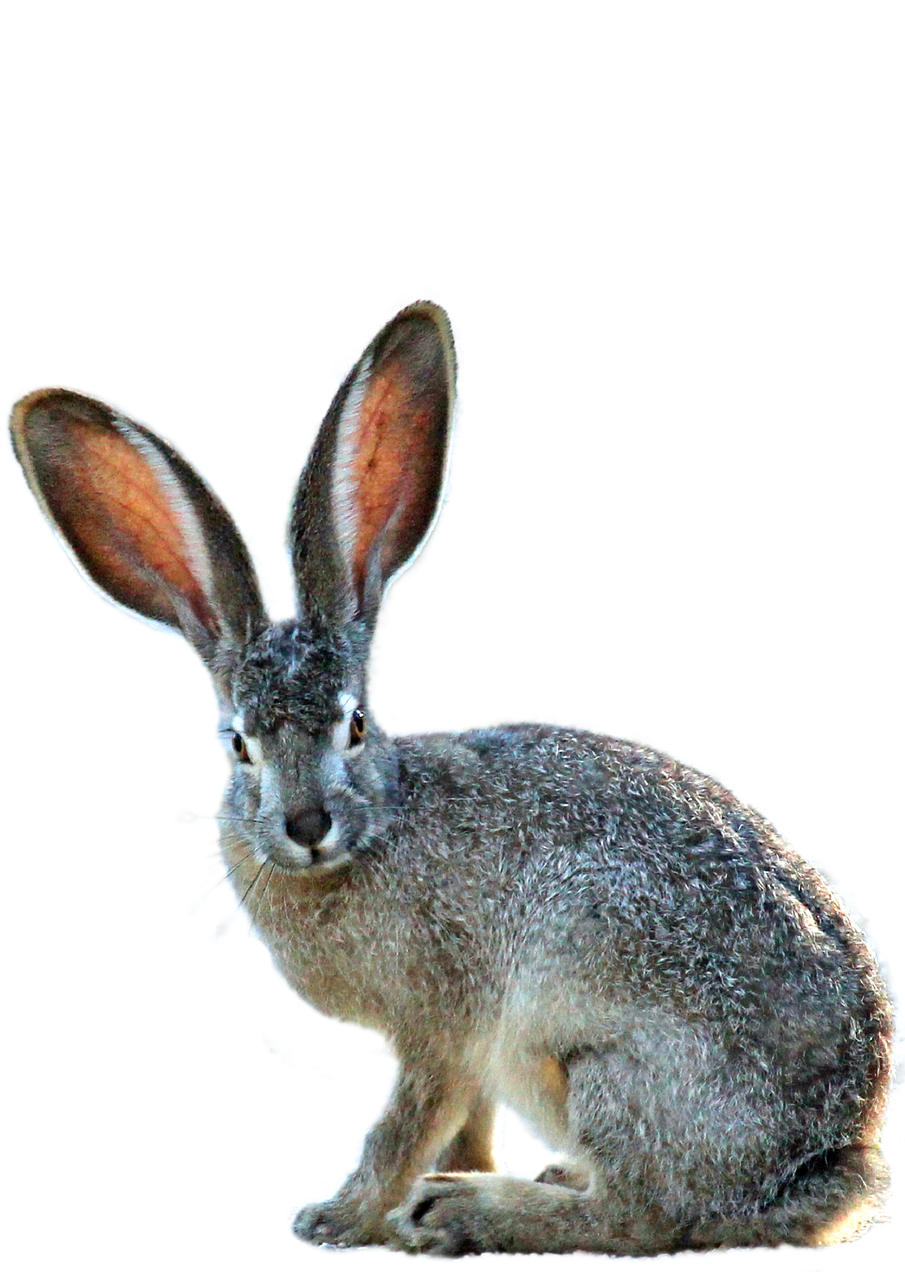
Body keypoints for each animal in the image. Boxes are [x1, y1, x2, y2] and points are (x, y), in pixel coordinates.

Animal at [5, 290, 899, 1258]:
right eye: (237, 745)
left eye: (356, 724)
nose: (307, 825)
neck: (377, 825)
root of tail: (825, 1168)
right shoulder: (459, 1053)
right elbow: (460, 1124)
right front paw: (426, 1190)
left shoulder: (441, 1024)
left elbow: (403, 1122)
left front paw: (339, 1218)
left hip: (606, 1064)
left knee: (646, 1214)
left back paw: (470, 1213)